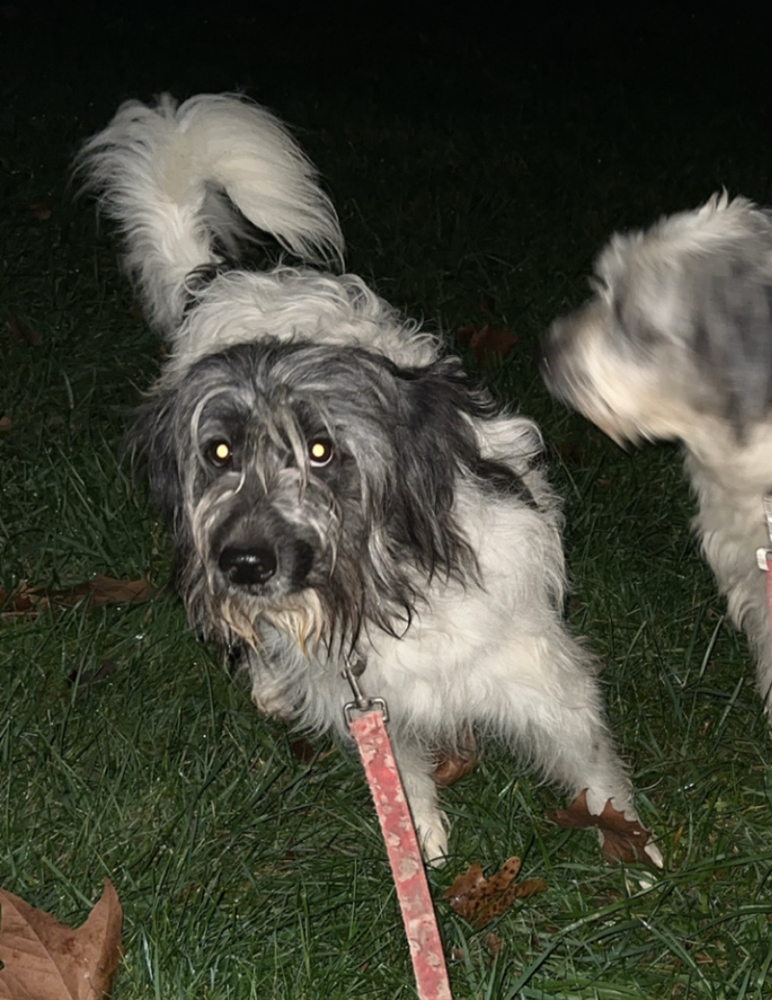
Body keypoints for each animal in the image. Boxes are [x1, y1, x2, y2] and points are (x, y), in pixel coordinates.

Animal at [78, 92, 660, 860]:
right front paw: (418, 839)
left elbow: (593, 769)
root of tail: (226, 281)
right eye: (220, 454)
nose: (244, 564)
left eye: (322, 451)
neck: (385, 587)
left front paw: (633, 845)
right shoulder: (366, 701)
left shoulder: (540, 678)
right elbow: (402, 773)